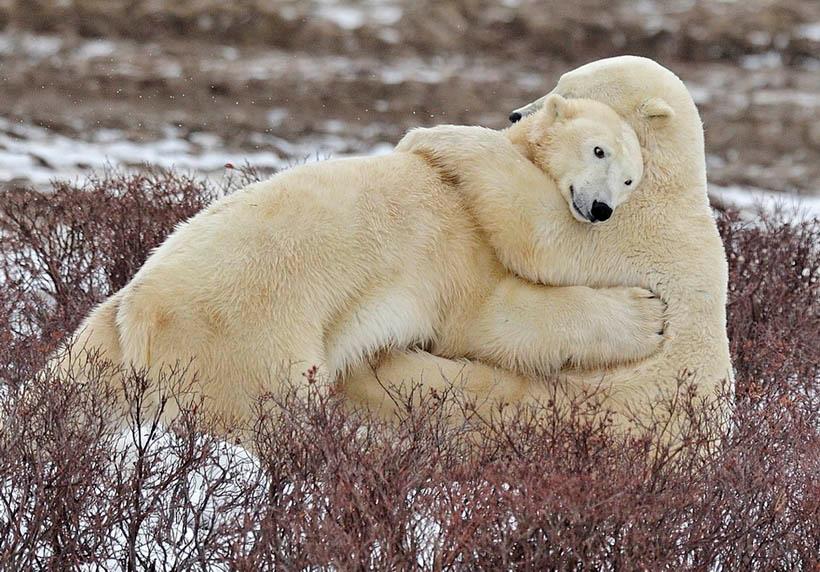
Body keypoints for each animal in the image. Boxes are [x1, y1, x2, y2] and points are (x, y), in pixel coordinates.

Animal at [56, 94, 662, 428]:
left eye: (631, 179)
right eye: (598, 151)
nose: (601, 209)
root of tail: (139, 309)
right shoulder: (461, 239)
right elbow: (493, 318)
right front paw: (648, 314)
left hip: (105, 339)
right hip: (243, 338)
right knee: (268, 411)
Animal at [342, 56, 734, 439]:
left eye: (571, 89)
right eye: (561, 80)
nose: (515, 114)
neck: (668, 179)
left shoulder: (629, 228)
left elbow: (541, 232)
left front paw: (433, 136)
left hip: (590, 400)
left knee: (477, 389)